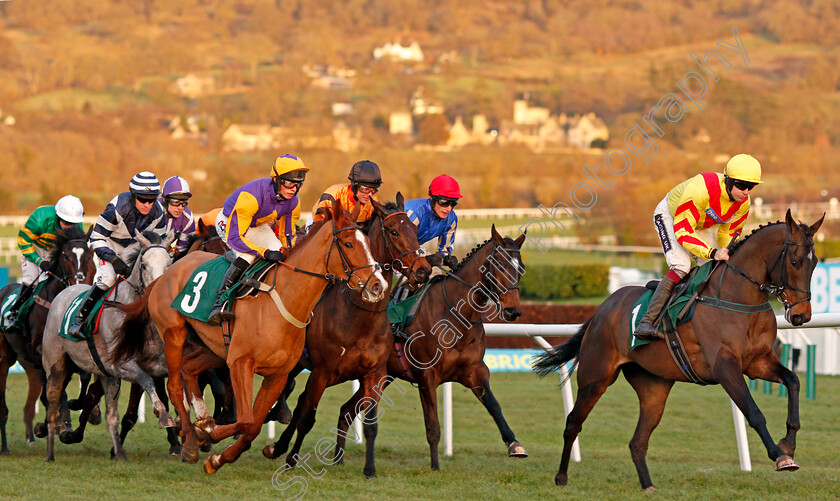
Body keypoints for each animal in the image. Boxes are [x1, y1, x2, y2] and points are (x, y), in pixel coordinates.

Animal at [42, 230, 176, 460]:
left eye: (169, 263)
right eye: (144, 265)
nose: (158, 295)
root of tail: (67, 290)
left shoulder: (157, 365)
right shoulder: (119, 364)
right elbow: (146, 380)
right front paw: (163, 415)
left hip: (97, 370)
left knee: (105, 409)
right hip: (56, 364)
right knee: (54, 399)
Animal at [117, 201, 388, 470]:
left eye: (367, 240)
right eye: (348, 244)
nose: (379, 286)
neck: (284, 302)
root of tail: (166, 272)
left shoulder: (277, 375)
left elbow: (254, 426)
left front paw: (218, 457)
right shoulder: (241, 363)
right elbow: (246, 419)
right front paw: (211, 437)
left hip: (214, 348)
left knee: (189, 369)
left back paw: (202, 421)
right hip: (174, 335)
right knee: (174, 385)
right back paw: (192, 442)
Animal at [262, 192, 434, 476]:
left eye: (415, 229)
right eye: (394, 231)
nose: (423, 270)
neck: (359, 315)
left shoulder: (375, 374)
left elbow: (371, 423)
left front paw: (370, 469)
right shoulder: (322, 372)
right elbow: (308, 417)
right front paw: (291, 458)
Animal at [358, 227, 528, 472]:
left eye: (520, 268)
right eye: (499, 265)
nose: (513, 311)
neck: (457, 316)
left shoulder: (475, 371)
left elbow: (494, 405)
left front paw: (514, 444)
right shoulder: (427, 376)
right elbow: (433, 426)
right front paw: (435, 466)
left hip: (382, 376)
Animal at [536, 209, 824, 490]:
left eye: (815, 263)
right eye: (795, 262)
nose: (801, 315)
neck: (737, 297)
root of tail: (600, 310)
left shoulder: (758, 362)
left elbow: (793, 380)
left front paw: (788, 444)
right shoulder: (725, 367)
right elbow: (754, 412)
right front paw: (780, 456)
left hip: (654, 387)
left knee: (637, 441)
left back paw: (648, 486)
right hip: (595, 378)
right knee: (573, 423)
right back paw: (561, 477)